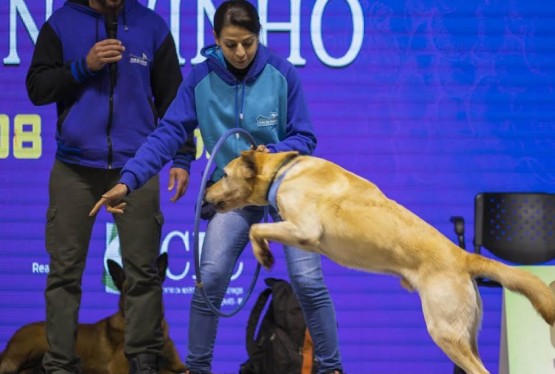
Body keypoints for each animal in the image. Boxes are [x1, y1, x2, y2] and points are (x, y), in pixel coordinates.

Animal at [204, 150, 555, 374]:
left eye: (225, 175)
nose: (205, 193)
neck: (283, 171)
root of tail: (464, 255)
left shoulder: (305, 229)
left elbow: (256, 228)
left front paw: (263, 253)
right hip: (465, 335)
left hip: (444, 330)